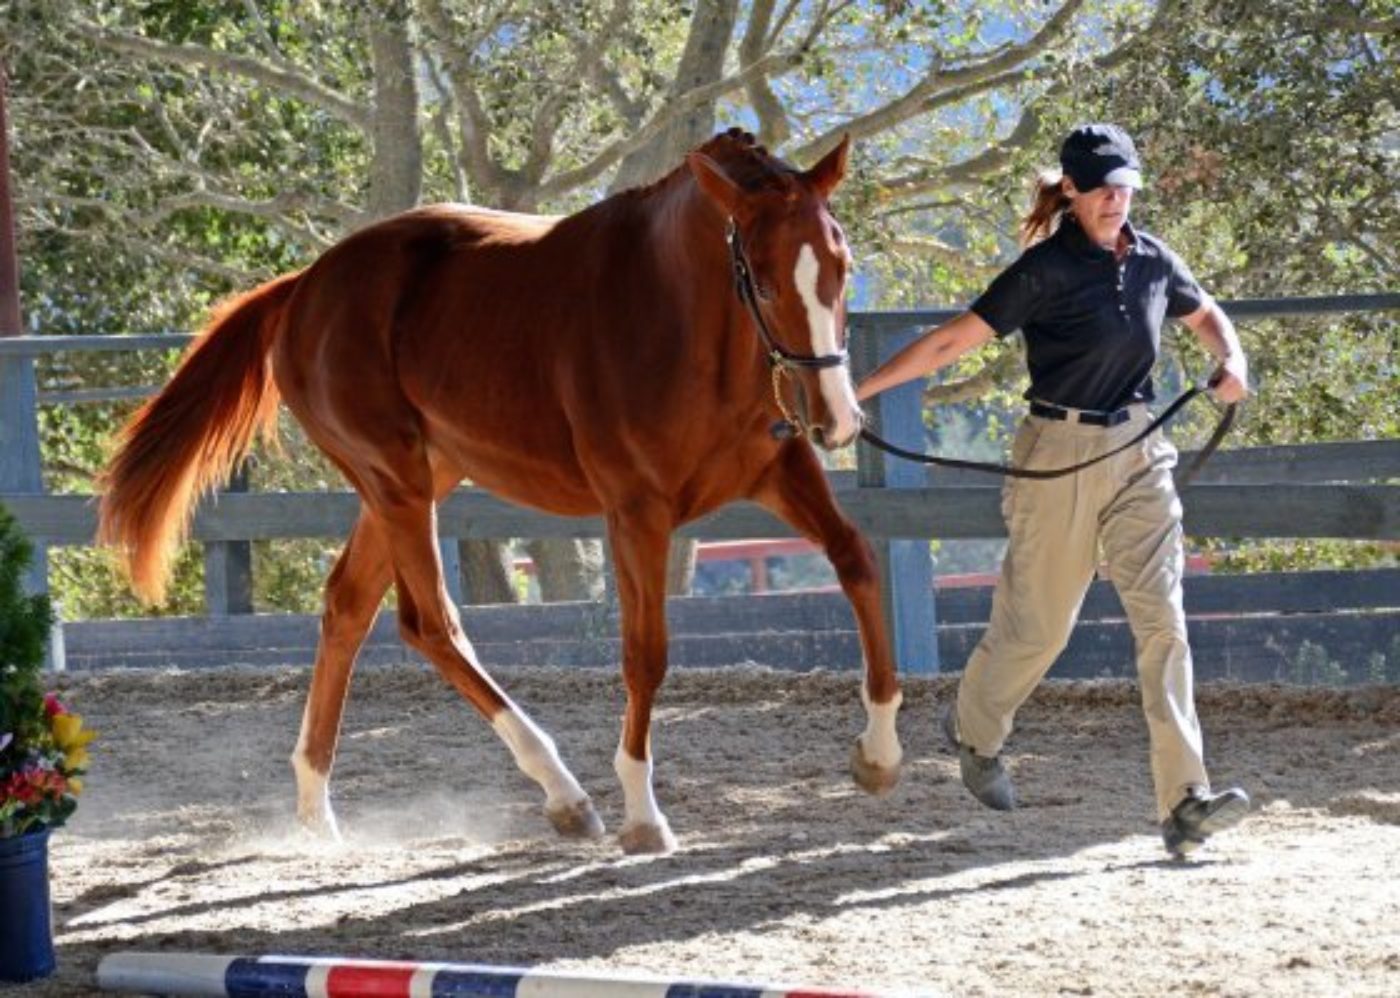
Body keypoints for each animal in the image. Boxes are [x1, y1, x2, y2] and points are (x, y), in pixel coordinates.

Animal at [101, 128, 907, 851]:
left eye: (843, 265)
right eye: (763, 281)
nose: (837, 421)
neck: (682, 321)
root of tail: (303, 289)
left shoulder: (779, 474)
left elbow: (859, 562)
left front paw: (878, 755)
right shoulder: (636, 513)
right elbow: (645, 651)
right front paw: (643, 817)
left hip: (416, 481)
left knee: (348, 608)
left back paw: (315, 811)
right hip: (395, 482)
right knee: (429, 623)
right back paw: (565, 795)